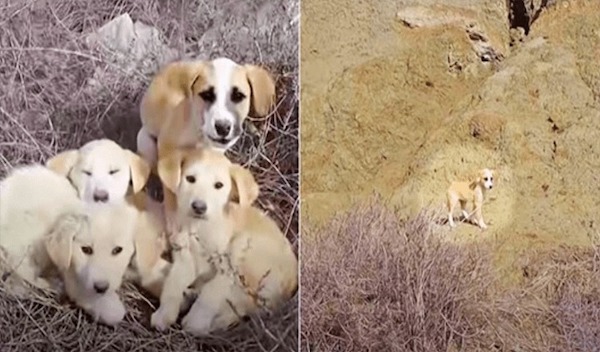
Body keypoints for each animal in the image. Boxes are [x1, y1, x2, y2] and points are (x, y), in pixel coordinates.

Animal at [150, 148, 298, 336]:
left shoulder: (226, 265)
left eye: (219, 185)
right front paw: (164, 314)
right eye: (190, 178)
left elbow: (212, 292)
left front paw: (196, 321)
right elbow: (173, 284)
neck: (201, 228)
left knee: (243, 303)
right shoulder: (185, 257)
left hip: (246, 246)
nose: (199, 207)